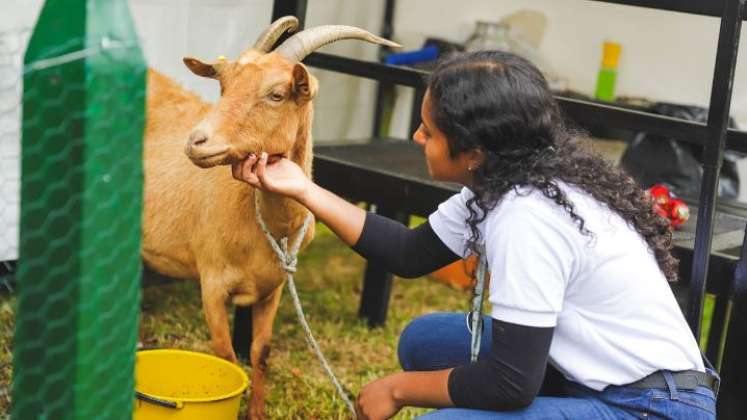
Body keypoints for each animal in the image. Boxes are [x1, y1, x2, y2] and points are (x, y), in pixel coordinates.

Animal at [140, 15, 398, 416]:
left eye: (276, 94)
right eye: (224, 85)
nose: (196, 142)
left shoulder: (273, 287)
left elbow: (261, 352)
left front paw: (258, 411)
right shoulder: (211, 283)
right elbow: (226, 358)